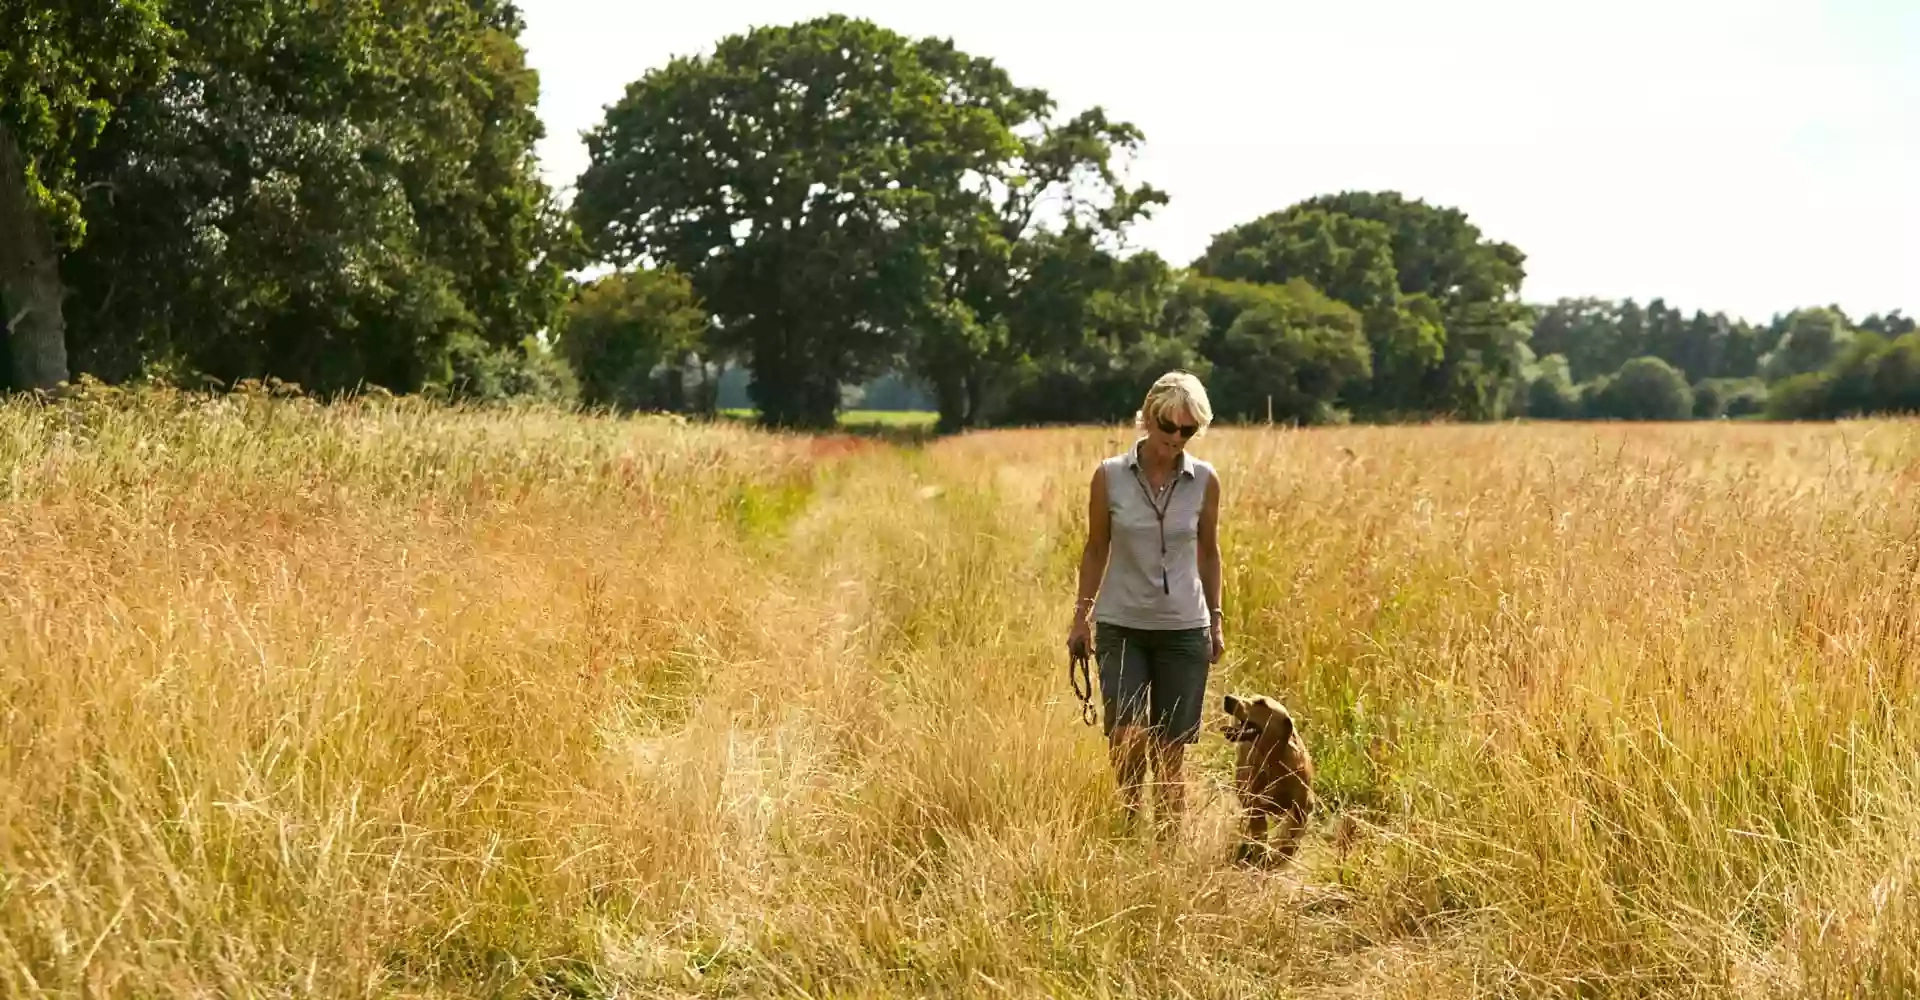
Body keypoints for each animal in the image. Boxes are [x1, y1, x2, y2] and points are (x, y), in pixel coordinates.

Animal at [1221, 694, 1313, 863]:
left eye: (1261, 703)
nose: (1228, 697)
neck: (1274, 759)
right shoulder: (1256, 806)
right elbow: (1260, 833)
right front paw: (1262, 853)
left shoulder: (1302, 808)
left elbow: (1291, 838)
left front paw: (1283, 854)